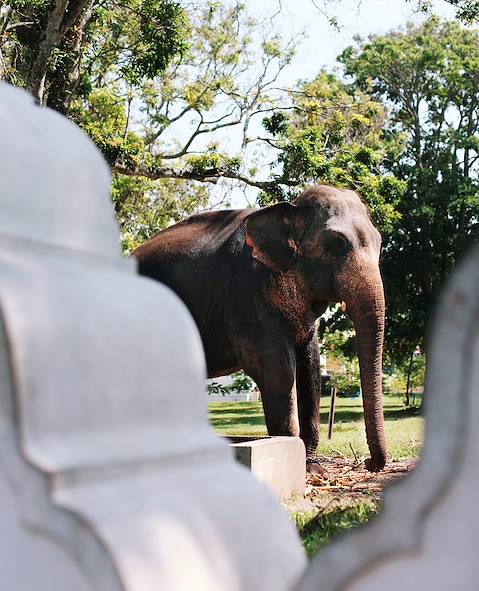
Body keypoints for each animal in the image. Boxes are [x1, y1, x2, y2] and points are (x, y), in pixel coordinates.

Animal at [133, 184, 388, 472]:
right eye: (335, 245)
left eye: (380, 243)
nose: (369, 462)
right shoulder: (245, 295)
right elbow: (279, 371)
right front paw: (294, 455)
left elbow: (310, 369)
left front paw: (311, 466)